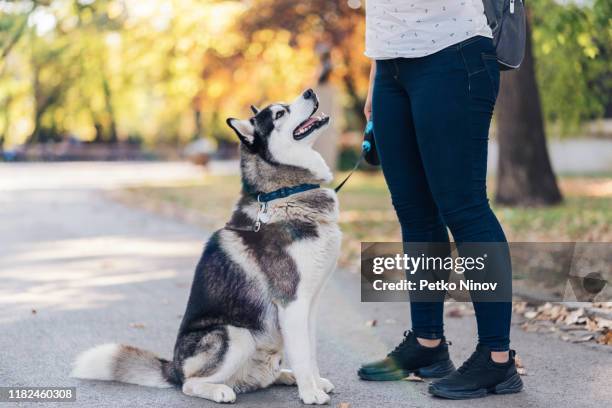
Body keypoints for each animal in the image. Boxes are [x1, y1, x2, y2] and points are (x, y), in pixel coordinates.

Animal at [72, 89, 342, 404]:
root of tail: (173, 367)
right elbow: (302, 354)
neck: (284, 193)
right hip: (235, 333)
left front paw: (314, 383)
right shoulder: (292, 302)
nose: (310, 91)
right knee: (190, 384)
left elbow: (310, 352)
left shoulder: (309, 303)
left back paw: (283, 376)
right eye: (279, 113)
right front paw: (310, 393)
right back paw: (219, 390)